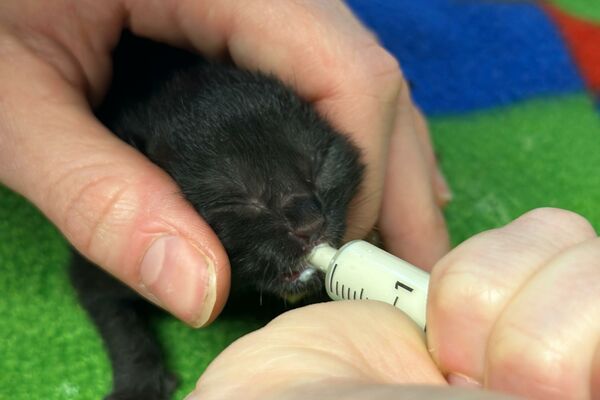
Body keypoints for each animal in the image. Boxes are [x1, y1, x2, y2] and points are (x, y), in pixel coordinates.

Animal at [68, 32, 364, 400]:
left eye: (321, 164)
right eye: (236, 200)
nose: (310, 224)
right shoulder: (99, 264)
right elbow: (119, 322)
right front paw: (138, 384)